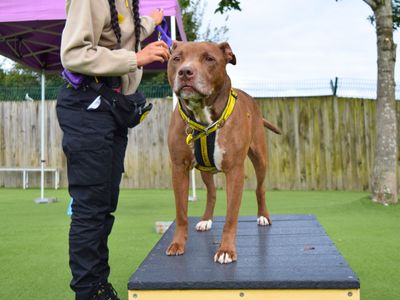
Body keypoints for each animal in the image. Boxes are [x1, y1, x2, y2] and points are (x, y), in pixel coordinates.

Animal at [164, 41, 280, 264]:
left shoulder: (234, 171)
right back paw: (206, 220)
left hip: (260, 159)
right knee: (211, 193)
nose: (185, 72)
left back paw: (263, 216)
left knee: (260, 188)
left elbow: (231, 217)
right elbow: (181, 213)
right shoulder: (178, 168)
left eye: (209, 59)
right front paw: (177, 244)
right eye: (176, 58)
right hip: (205, 170)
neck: (203, 117)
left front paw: (226, 250)